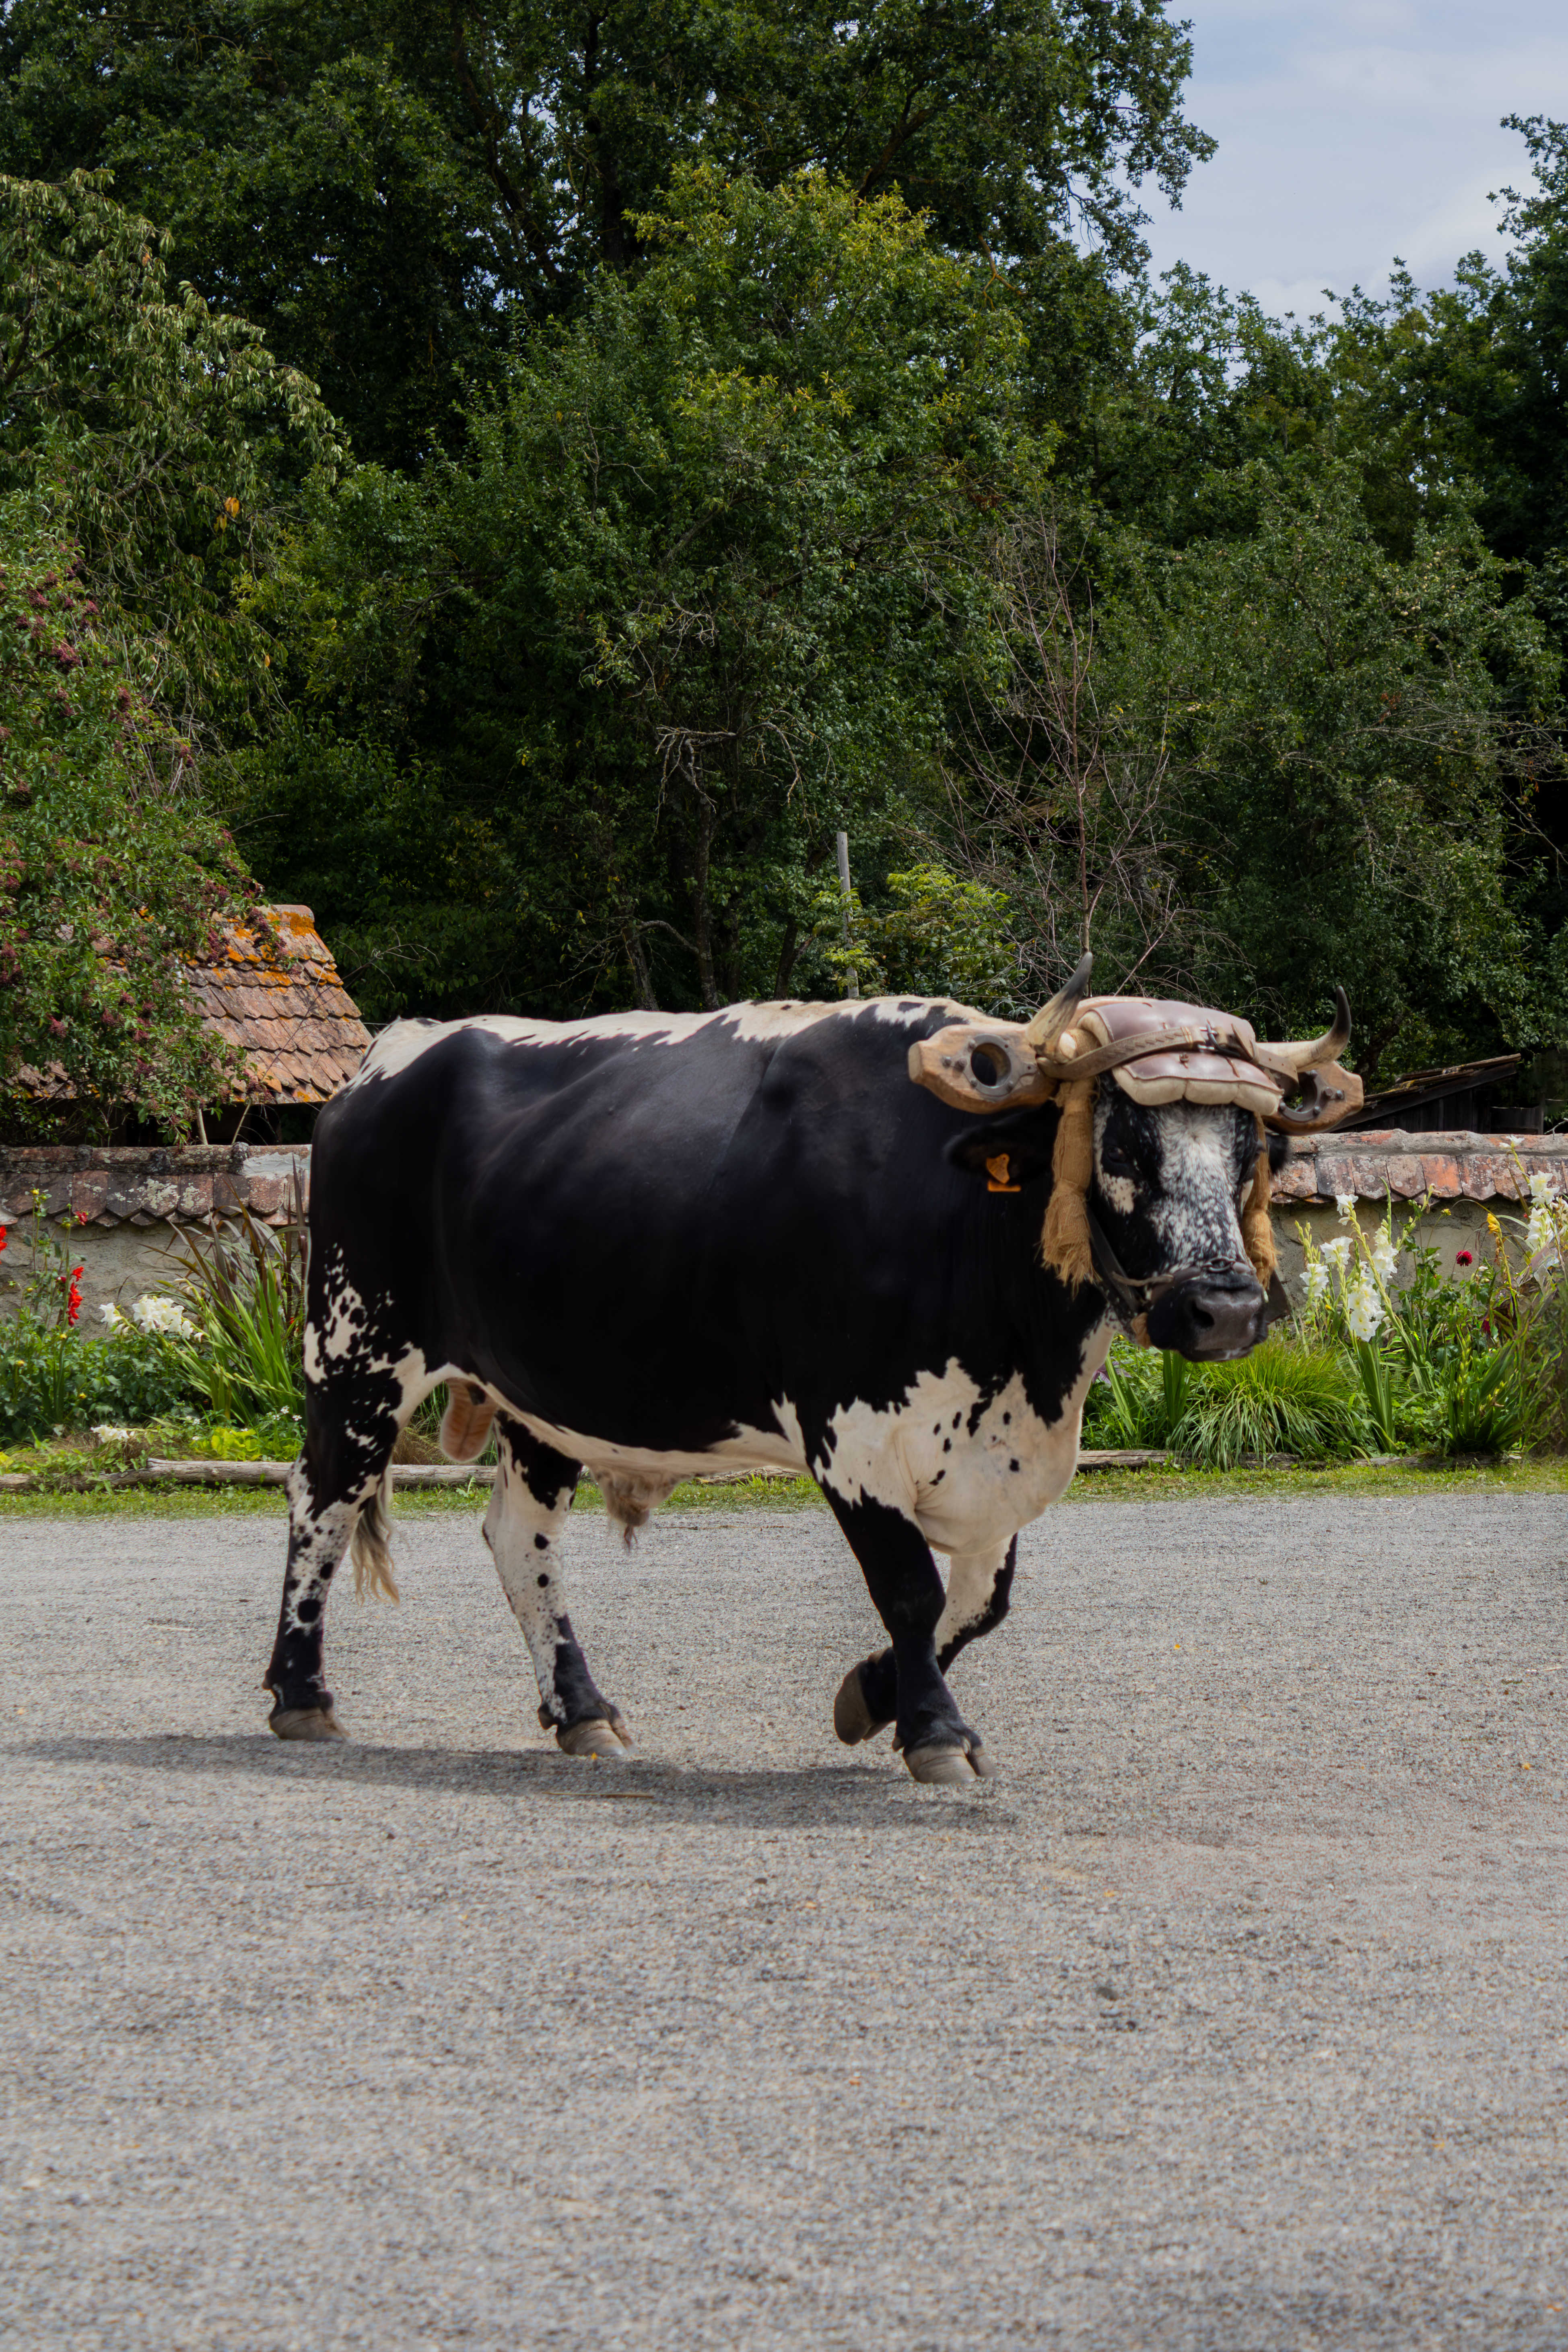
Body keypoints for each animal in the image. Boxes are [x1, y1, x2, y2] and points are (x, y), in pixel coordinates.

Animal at [263, 962, 1356, 1783]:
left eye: (1248, 1148)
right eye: (1122, 1143)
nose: (1226, 1310)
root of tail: (391, 1058)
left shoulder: (992, 1457)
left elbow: (979, 1602)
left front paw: (872, 1697)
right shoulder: (852, 1436)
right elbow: (912, 1591)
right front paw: (932, 1731)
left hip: (541, 1399)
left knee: (519, 1542)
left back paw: (581, 1711)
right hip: (356, 1355)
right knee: (320, 1506)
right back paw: (300, 1695)